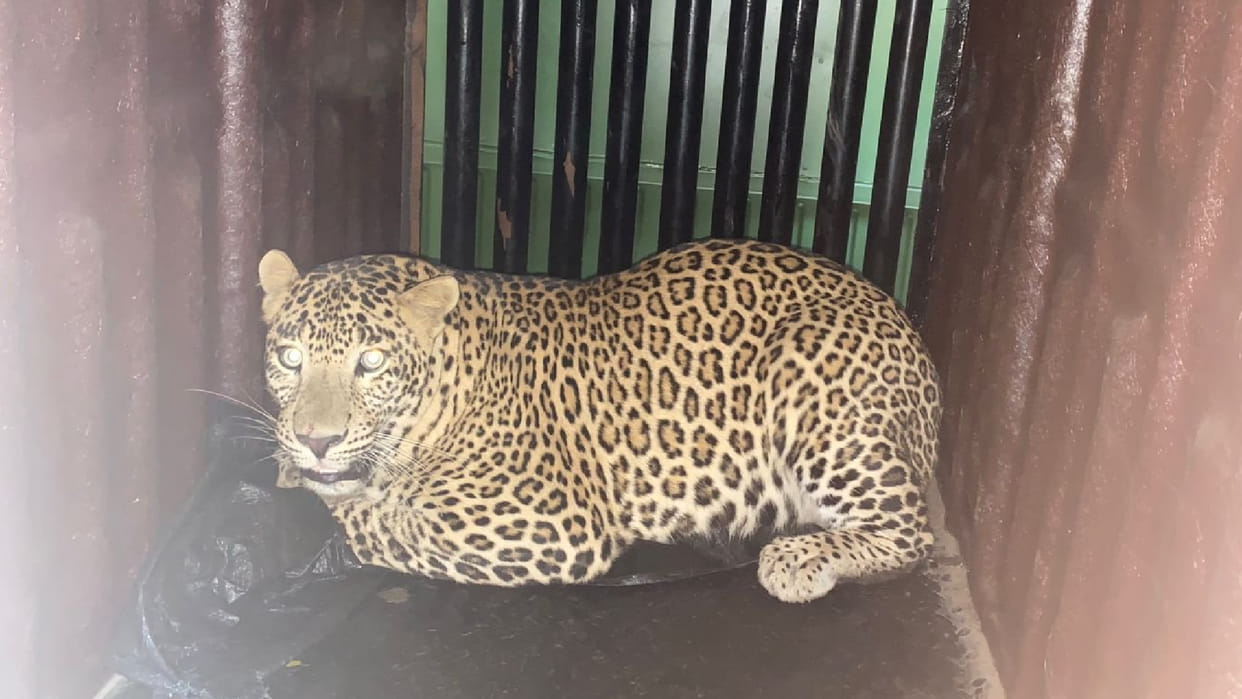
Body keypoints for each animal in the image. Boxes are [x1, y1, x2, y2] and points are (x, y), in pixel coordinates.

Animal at [257, 238, 941, 603]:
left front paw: (315, 494)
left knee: (911, 535)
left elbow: (377, 524)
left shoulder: (548, 524)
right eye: (290, 358)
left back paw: (796, 561)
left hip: (810, 375)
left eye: (371, 362)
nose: (318, 442)